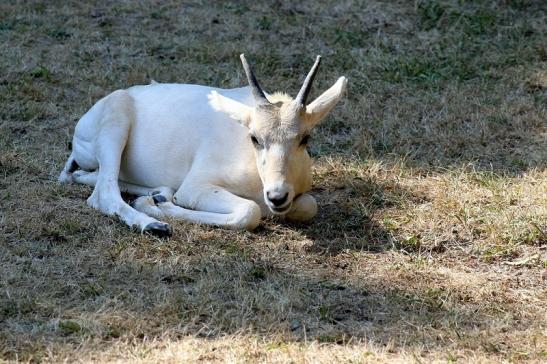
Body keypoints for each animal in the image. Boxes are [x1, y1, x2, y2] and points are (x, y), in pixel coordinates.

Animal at [58, 53, 346, 236]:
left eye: (304, 138)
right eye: (254, 137)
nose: (277, 196)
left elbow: (309, 205)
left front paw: (158, 200)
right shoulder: (196, 187)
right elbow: (250, 211)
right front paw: (156, 207)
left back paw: (158, 192)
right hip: (116, 121)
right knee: (103, 193)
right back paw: (153, 224)